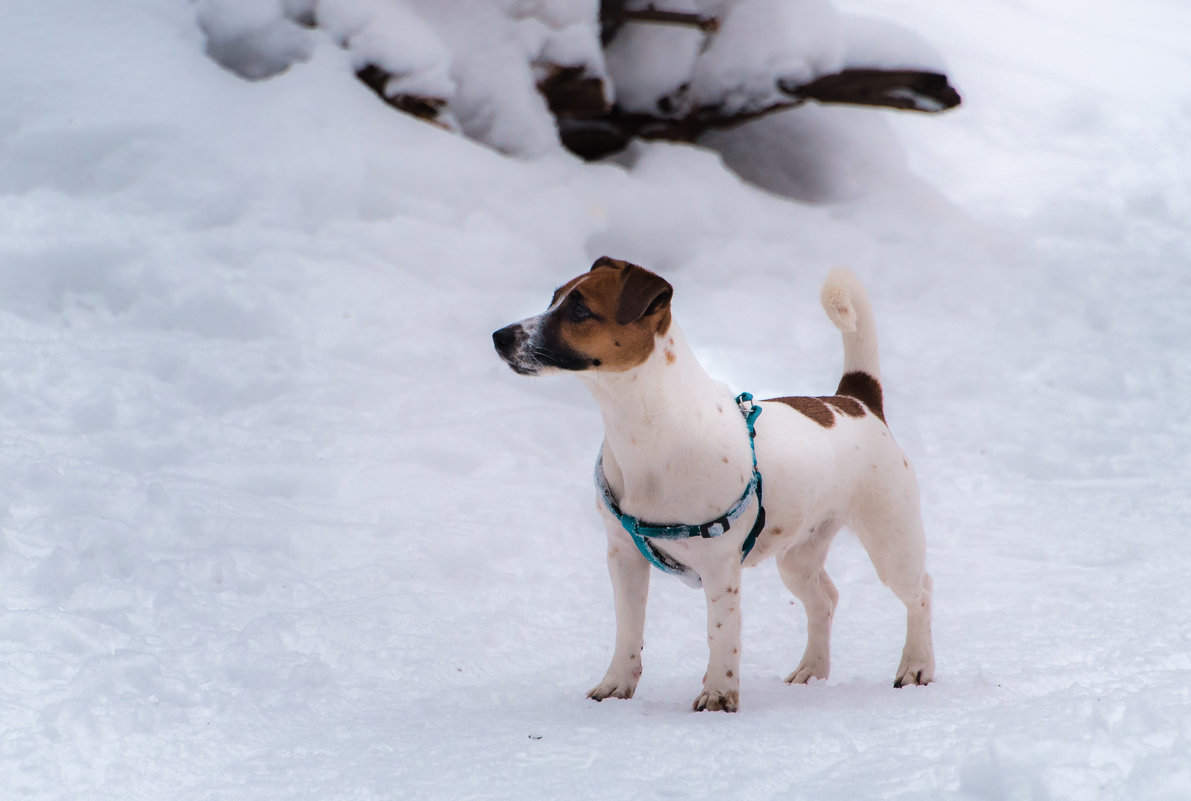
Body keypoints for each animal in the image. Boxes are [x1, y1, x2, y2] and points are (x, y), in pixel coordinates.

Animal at [488, 258, 933, 714]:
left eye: (579, 310)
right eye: (554, 298)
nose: (499, 337)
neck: (646, 433)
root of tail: (857, 401)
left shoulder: (720, 565)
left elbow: (721, 634)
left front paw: (719, 694)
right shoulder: (623, 557)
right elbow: (628, 630)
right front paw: (615, 685)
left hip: (891, 541)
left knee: (920, 593)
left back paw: (916, 667)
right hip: (798, 556)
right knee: (825, 599)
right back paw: (812, 670)